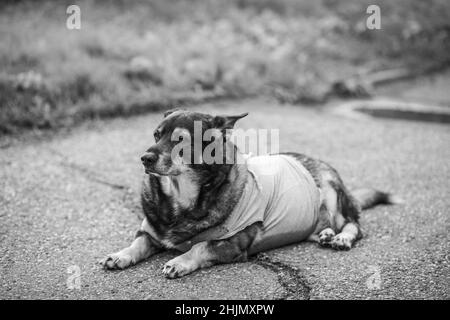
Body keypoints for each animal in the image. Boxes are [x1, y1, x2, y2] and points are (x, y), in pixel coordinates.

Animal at [100, 109, 400, 278]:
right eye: (156, 134)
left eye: (180, 140)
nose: (145, 158)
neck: (181, 196)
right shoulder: (150, 231)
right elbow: (138, 243)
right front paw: (120, 255)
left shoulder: (232, 244)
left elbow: (200, 246)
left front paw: (180, 261)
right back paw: (326, 234)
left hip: (330, 191)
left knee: (354, 224)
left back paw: (341, 238)